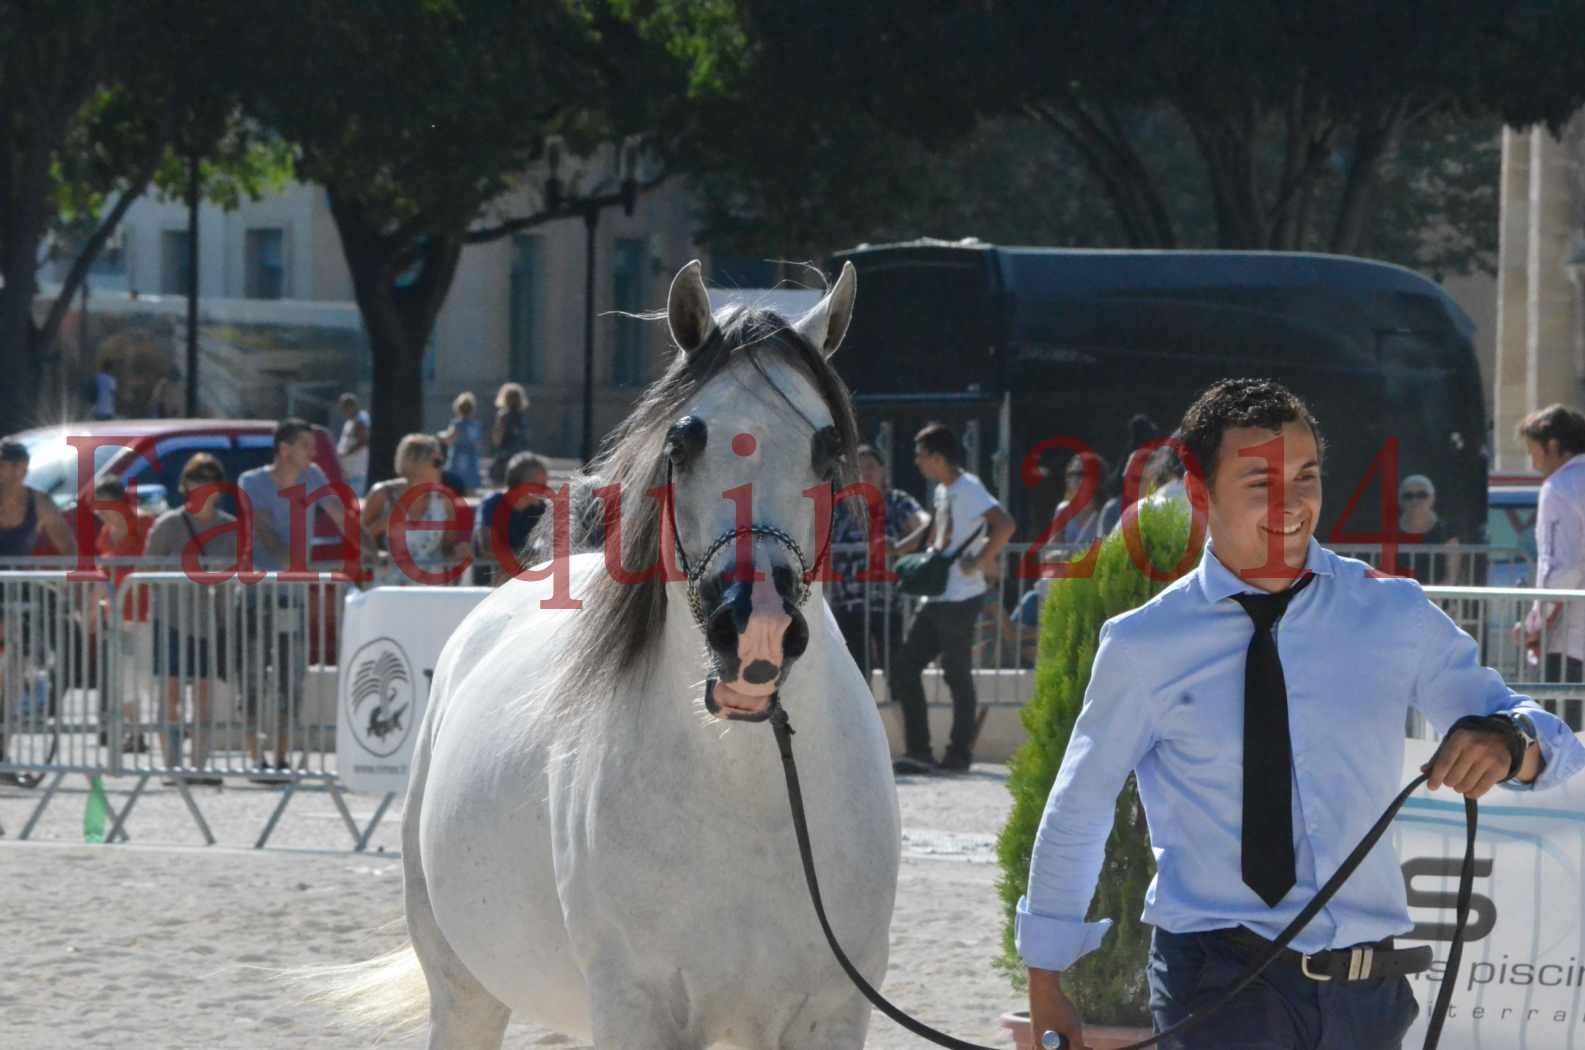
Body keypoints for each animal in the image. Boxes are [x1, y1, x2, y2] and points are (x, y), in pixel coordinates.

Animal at [328, 258, 900, 1046]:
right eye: (682, 444)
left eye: (827, 446)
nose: (753, 630)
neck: (749, 792)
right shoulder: (634, 1008)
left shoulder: (830, 1015)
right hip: (465, 992)